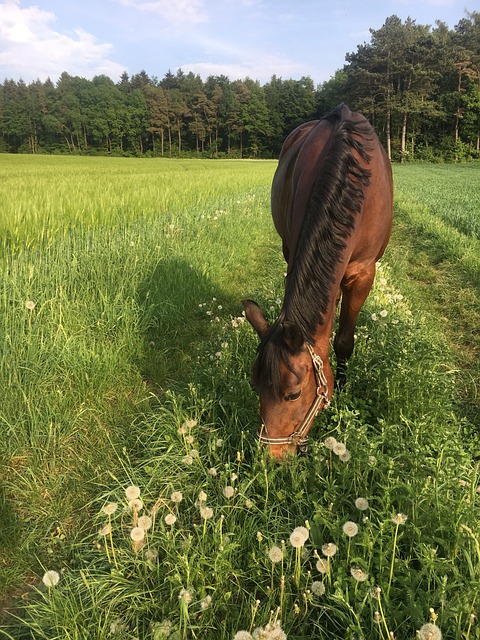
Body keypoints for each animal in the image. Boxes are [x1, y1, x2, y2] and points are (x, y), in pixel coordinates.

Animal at [242, 102, 392, 458]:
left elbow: (344, 340)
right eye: (255, 386)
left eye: (294, 394)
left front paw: (344, 390)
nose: (272, 457)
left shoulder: (364, 274)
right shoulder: (294, 252)